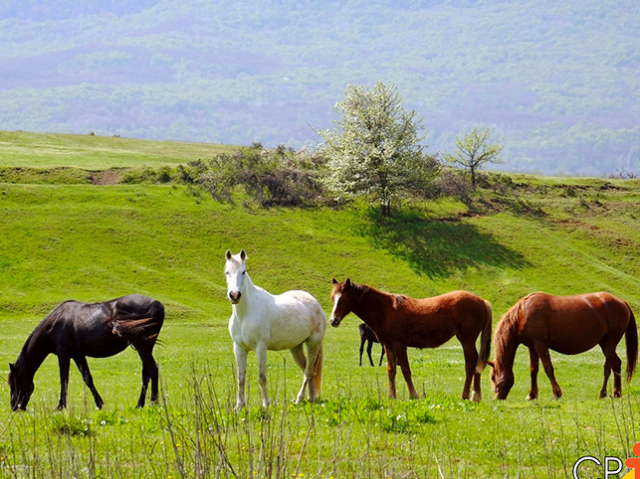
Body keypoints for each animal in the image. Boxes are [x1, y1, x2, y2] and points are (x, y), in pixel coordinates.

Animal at [8, 294, 164, 410]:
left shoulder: (64, 354)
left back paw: (153, 403)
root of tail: (156, 303)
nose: (15, 407)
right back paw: (141, 404)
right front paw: (99, 404)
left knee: (152, 369)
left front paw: (61, 406)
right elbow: (87, 378)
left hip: (142, 347)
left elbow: (64, 379)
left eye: (13, 383)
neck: (55, 323)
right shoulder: (78, 355)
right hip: (145, 348)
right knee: (147, 372)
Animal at [224, 249, 324, 410]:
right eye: (227, 272)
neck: (245, 313)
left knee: (308, 372)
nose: (234, 295)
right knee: (306, 370)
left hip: (313, 344)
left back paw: (299, 399)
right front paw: (239, 406)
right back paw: (311, 398)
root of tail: (315, 303)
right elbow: (241, 378)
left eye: (243, 272)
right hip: (296, 348)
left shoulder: (261, 348)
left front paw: (266, 404)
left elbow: (262, 378)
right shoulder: (239, 348)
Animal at [328, 280, 492, 404]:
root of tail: (482, 301)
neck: (385, 310)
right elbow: (391, 371)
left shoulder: (400, 346)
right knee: (477, 363)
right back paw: (476, 396)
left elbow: (406, 371)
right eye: (332, 298)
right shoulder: (388, 347)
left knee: (470, 366)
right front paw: (391, 397)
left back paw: (466, 396)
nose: (333, 320)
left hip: (467, 341)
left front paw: (414, 395)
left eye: (344, 299)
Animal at [490, 292, 636, 402]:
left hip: (611, 340)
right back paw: (616, 393)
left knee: (607, 367)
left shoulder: (541, 345)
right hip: (604, 342)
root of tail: (622, 302)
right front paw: (532, 395)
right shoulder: (532, 347)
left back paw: (602, 393)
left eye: (492, 378)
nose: (497, 398)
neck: (523, 314)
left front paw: (556, 393)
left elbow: (548, 368)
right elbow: (533, 370)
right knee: (616, 363)